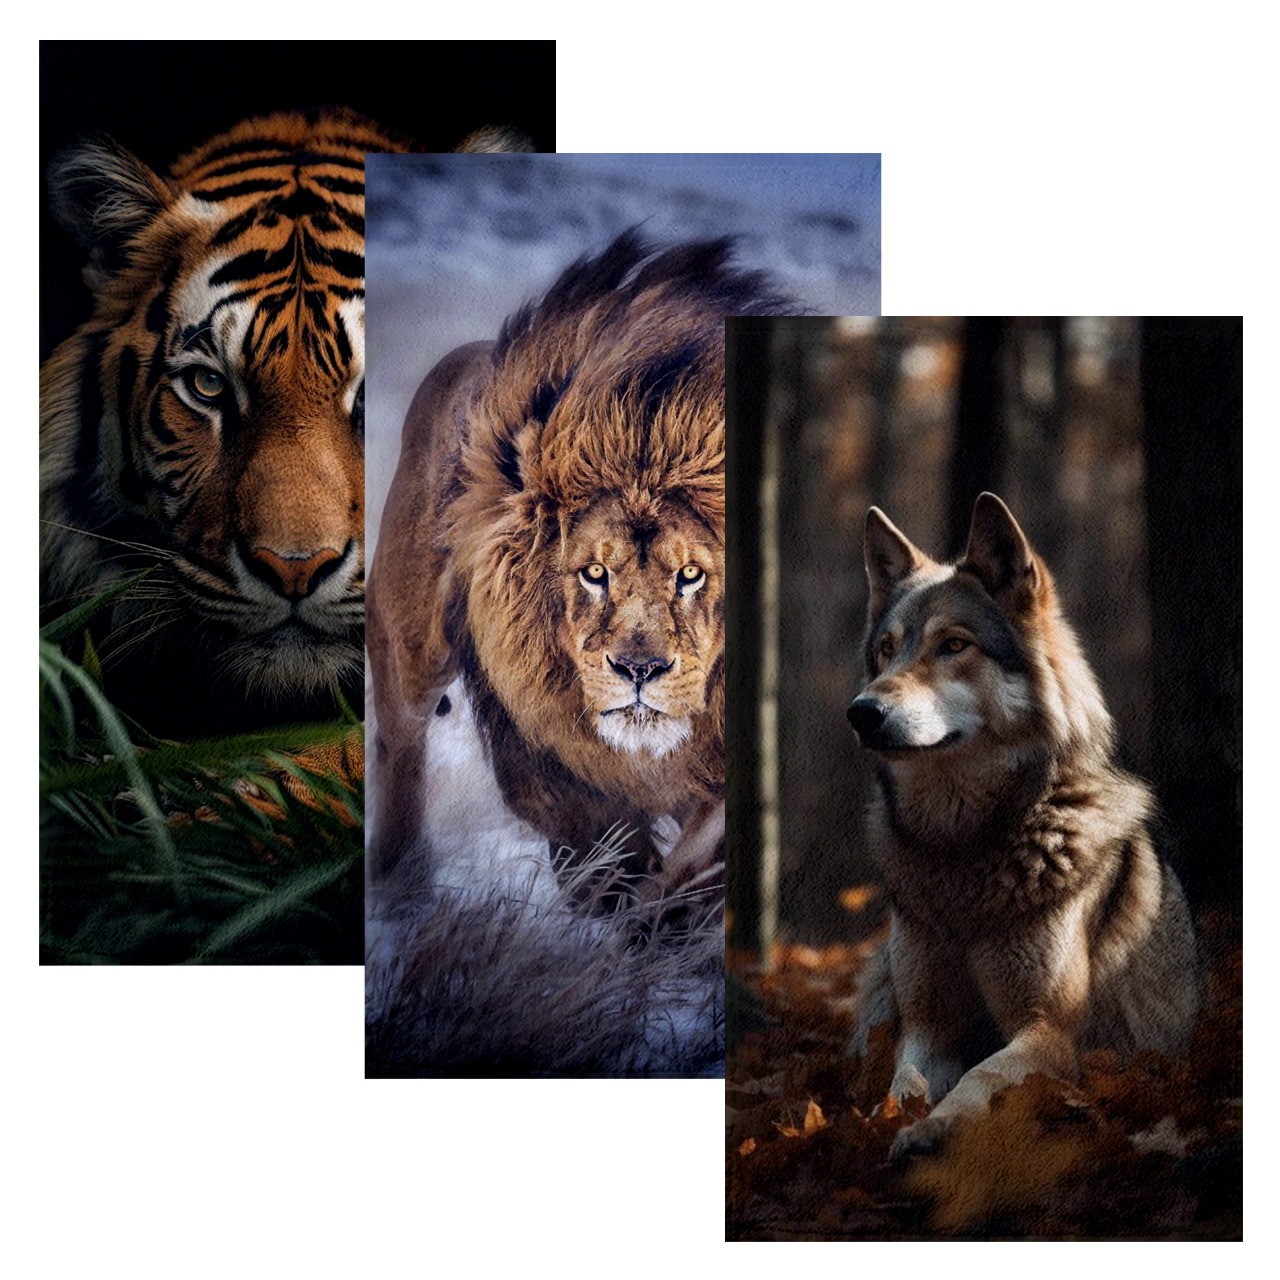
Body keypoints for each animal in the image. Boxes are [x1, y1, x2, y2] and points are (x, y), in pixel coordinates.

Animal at [846, 492, 1199, 1159]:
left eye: (953, 645)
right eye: (886, 650)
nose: (861, 712)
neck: (963, 850)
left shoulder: (1049, 1032)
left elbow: (981, 1076)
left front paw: (930, 1129)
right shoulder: (927, 1024)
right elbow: (903, 1080)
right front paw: (890, 1120)